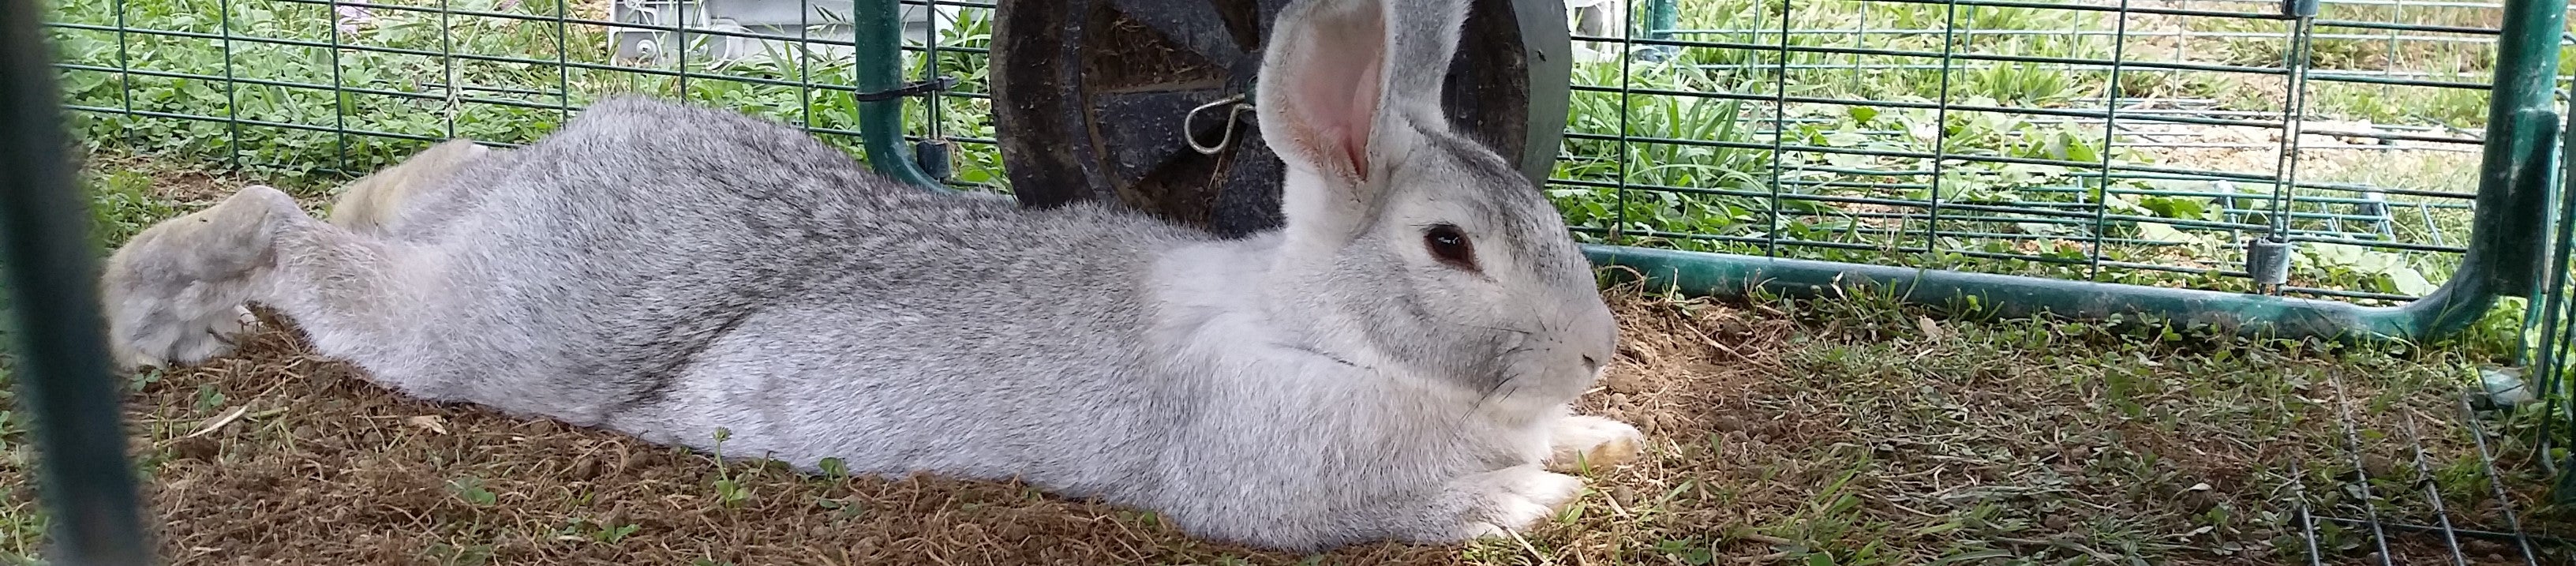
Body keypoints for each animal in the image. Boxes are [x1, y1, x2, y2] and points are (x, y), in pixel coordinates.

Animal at [100, 0, 1638, 553]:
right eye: (1449, 247)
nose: (1596, 352)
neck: (1323, 324)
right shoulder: (1277, 467)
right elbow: (1443, 498)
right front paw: (1539, 496)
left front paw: (1608, 440)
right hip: (509, 334)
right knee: (309, 249)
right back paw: (158, 288)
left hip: (496, 222)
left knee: (423, 181)